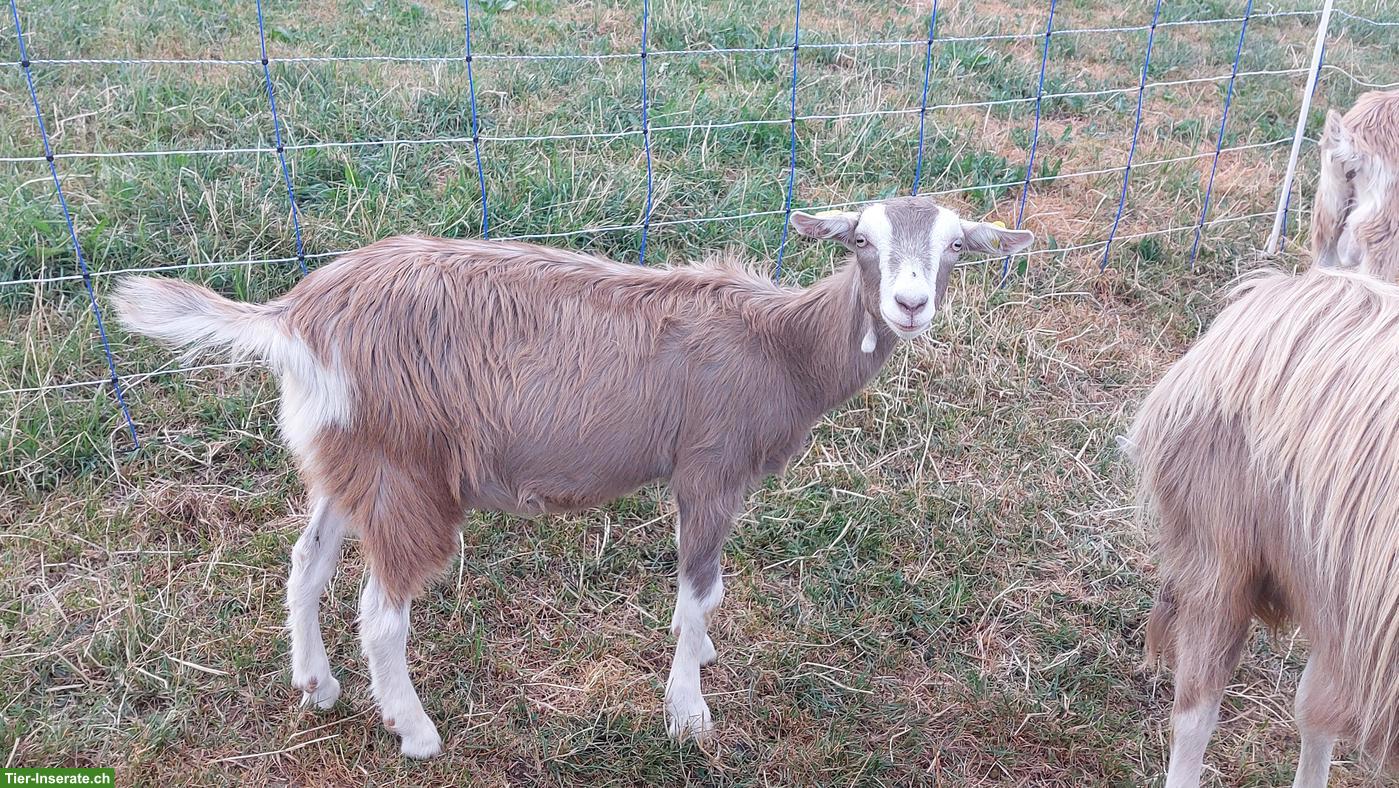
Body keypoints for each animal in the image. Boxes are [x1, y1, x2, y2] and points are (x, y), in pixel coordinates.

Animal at [113, 195, 1033, 758]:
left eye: (954, 246)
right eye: (861, 241)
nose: (909, 305)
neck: (778, 347)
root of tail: (296, 317)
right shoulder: (708, 469)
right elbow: (701, 594)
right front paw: (688, 715)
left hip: (351, 459)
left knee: (305, 563)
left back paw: (317, 685)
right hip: (409, 474)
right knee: (381, 613)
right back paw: (415, 731)